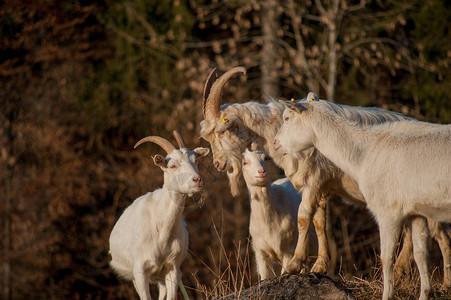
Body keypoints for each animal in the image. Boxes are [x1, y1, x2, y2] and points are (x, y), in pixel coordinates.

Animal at [109, 131, 210, 300]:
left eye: (195, 161)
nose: (197, 180)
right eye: (173, 165)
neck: (161, 228)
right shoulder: (140, 270)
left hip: (161, 277)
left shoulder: (173, 268)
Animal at [242, 148, 316, 278]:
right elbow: (264, 277)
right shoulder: (260, 251)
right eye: (245, 162)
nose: (261, 171)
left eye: (265, 158)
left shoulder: (289, 249)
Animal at [276, 99, 451, 298]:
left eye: (287, 118)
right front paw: (425, 294)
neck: (363, 153)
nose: (275, 143)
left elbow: (386, 256)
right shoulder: (416, 212)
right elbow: (422, 253)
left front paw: (387, 295)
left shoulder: (387, 210)